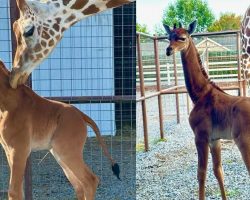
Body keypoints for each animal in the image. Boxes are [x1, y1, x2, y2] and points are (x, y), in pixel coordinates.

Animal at [0, 60, 119, 200]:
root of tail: (81, 115)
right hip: (60, 155)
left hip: (67, 153)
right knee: (79, 186)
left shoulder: (19, 150)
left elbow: (14, 191)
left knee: (90, 180)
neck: (7, 102)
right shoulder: (9, 151)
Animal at [163, 20, 250, 200]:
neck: (200, 94)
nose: (169, 50)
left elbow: (201, 173)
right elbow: (219, 171)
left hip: (244, 142)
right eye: (169, 37)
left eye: (182, 37)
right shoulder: (214, 139)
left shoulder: (200, 137)